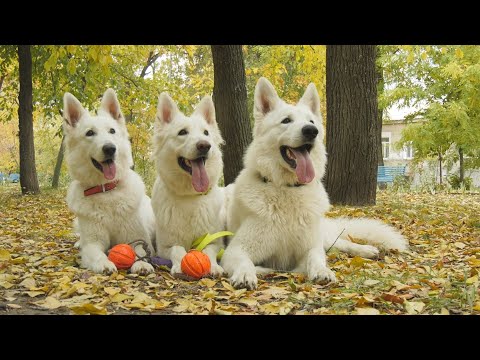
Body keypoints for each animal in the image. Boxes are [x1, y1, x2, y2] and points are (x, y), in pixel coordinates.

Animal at [62, 89, 155, 272]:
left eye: (112, 131)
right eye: (90, 133)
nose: (110, 148)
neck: (107, 190)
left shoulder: (138, 236)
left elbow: (140, 249)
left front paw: (141, 263)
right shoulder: (93, 242)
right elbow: (94, 252)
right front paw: (103, 263)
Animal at [153, 92, 228, 276]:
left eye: (206, 133)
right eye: (182, 132)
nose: (204, 145)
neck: (190, 197)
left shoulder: (215, 242)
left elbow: (208, 250)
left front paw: (214, 266)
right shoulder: (164, 247)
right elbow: (177, 249)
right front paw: (180, 264)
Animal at [220, 78, 404, 290]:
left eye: (311, 122)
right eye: (286, 120)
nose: (311, 131)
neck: (287, 189)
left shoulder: (310, 247)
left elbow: (315, 258)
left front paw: (323, 271)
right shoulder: (235, 250)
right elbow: (245, 262)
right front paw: (246, 274)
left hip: (323, 236)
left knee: (340, 242)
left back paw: (366, 249)